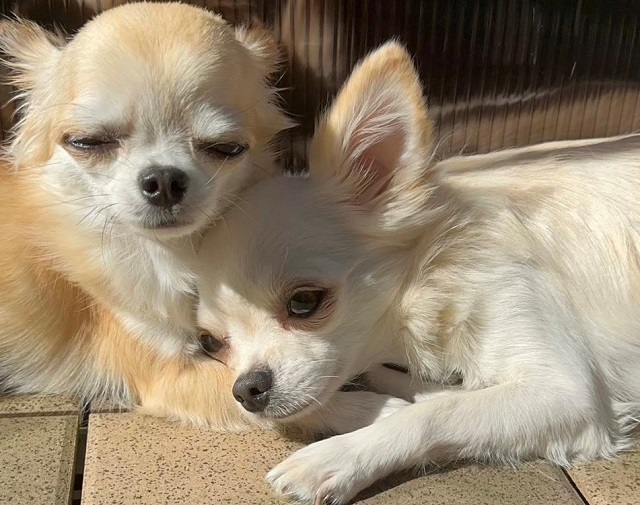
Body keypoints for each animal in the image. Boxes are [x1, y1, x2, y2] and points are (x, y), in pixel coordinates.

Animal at [194, 41, 640, 502]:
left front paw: (336, 458)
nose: (246, 390)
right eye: (210, 343)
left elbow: (441, 411)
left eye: (304, 302)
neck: (433, 277)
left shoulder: (566, 391)